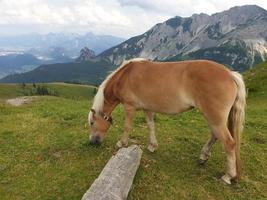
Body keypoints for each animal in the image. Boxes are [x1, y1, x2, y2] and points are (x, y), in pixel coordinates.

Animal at [88, 58, 247, 185]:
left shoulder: (129, 107)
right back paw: (203, 156)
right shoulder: (147, 108)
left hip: (215, 118)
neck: (125, 76)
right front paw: (152, 146)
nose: (92, 142)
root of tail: (230, 74)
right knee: (215, 135)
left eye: (92, 123)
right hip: (214, 118)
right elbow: (151, 126)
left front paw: (121, 143)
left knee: (229, 143)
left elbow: (127, 127)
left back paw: (228, 176)